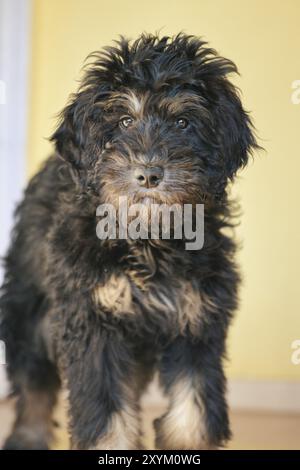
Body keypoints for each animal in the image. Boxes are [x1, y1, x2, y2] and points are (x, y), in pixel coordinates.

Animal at [0, 35, 258, 450]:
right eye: (124, 120)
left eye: (183, 122)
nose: (149, 174)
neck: (149, 237)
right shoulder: (91, 316)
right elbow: (104, 407)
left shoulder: (198, 315)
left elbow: (194, 403)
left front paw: (186, 443)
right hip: (29, 304)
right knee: (33, 377)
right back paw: (28, 436)